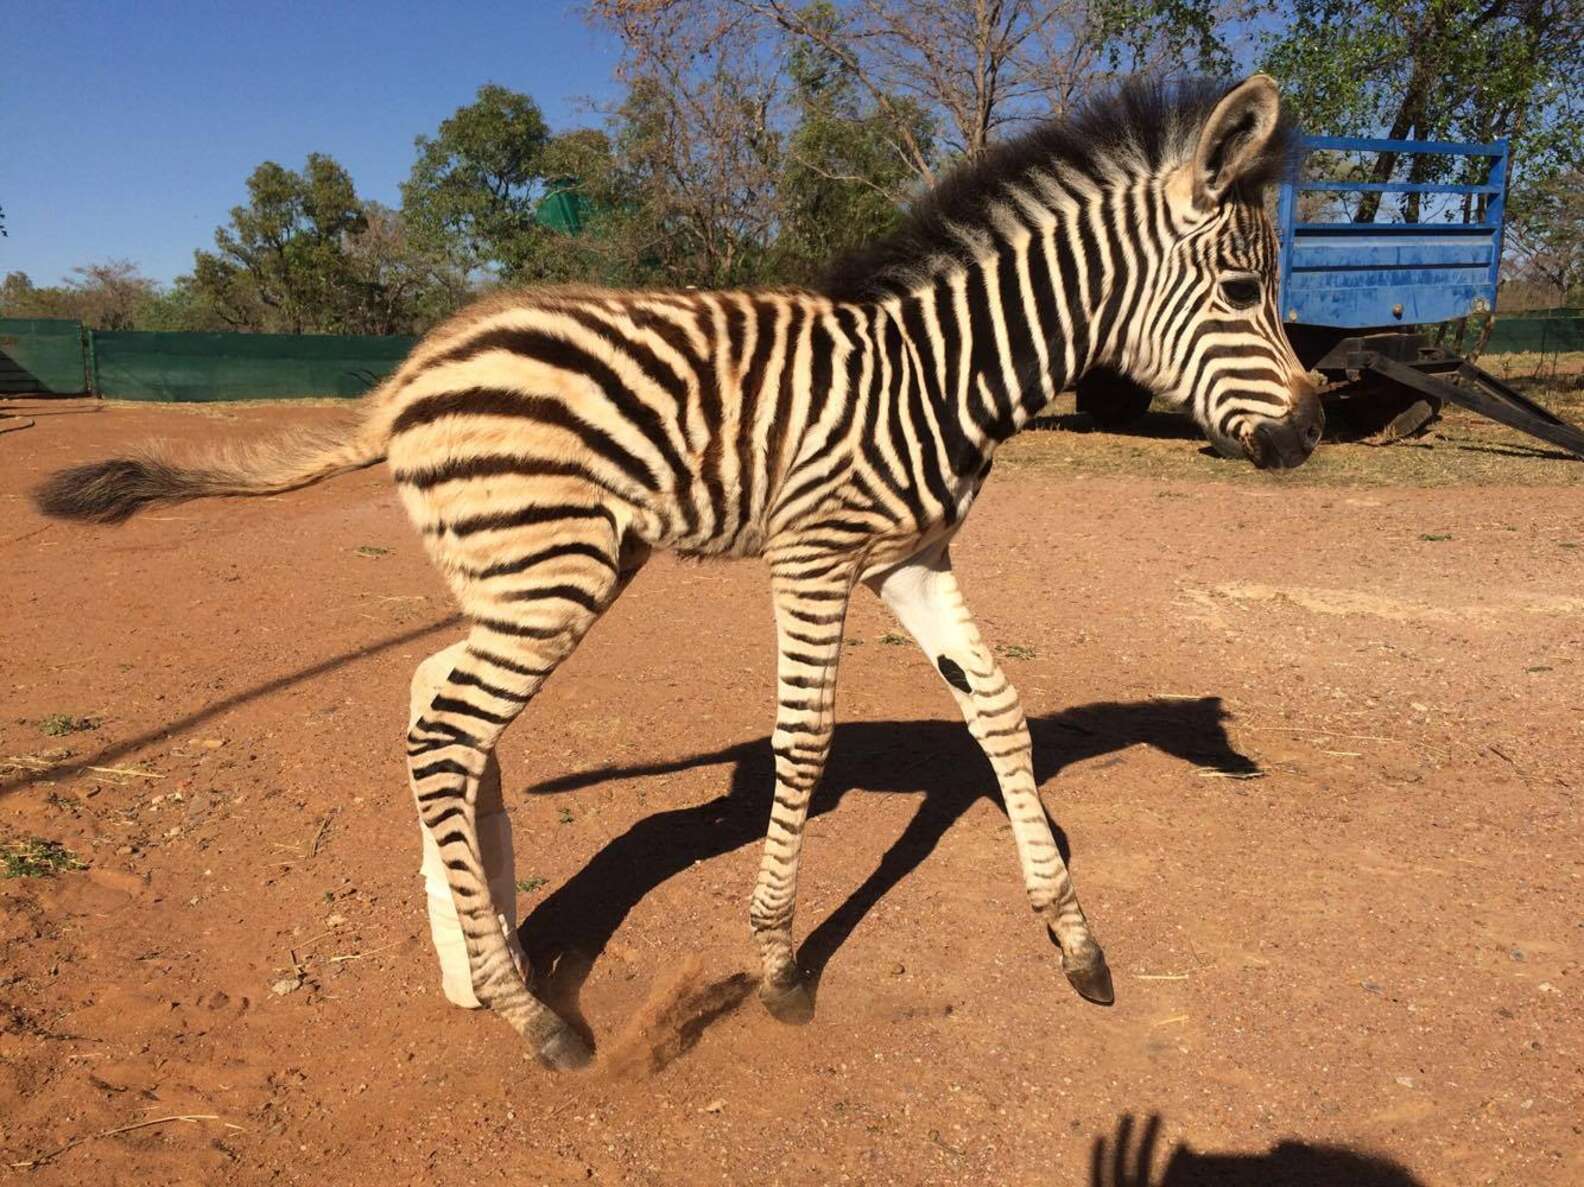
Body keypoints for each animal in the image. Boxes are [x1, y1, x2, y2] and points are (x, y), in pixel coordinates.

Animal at [34, 74, 1321, 1071]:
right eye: (1242, 293)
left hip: (541, 571)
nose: (1311, 433)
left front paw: (1076, 942)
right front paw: (780, 961)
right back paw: (531, 1014)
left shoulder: (912, 555)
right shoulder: (816, 549)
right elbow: (803, 739)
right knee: (446, 730)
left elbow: (1001, 712)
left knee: (431, 704)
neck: (939, 372)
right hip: (548, 570)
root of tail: (408, 373)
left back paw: (476, 950)